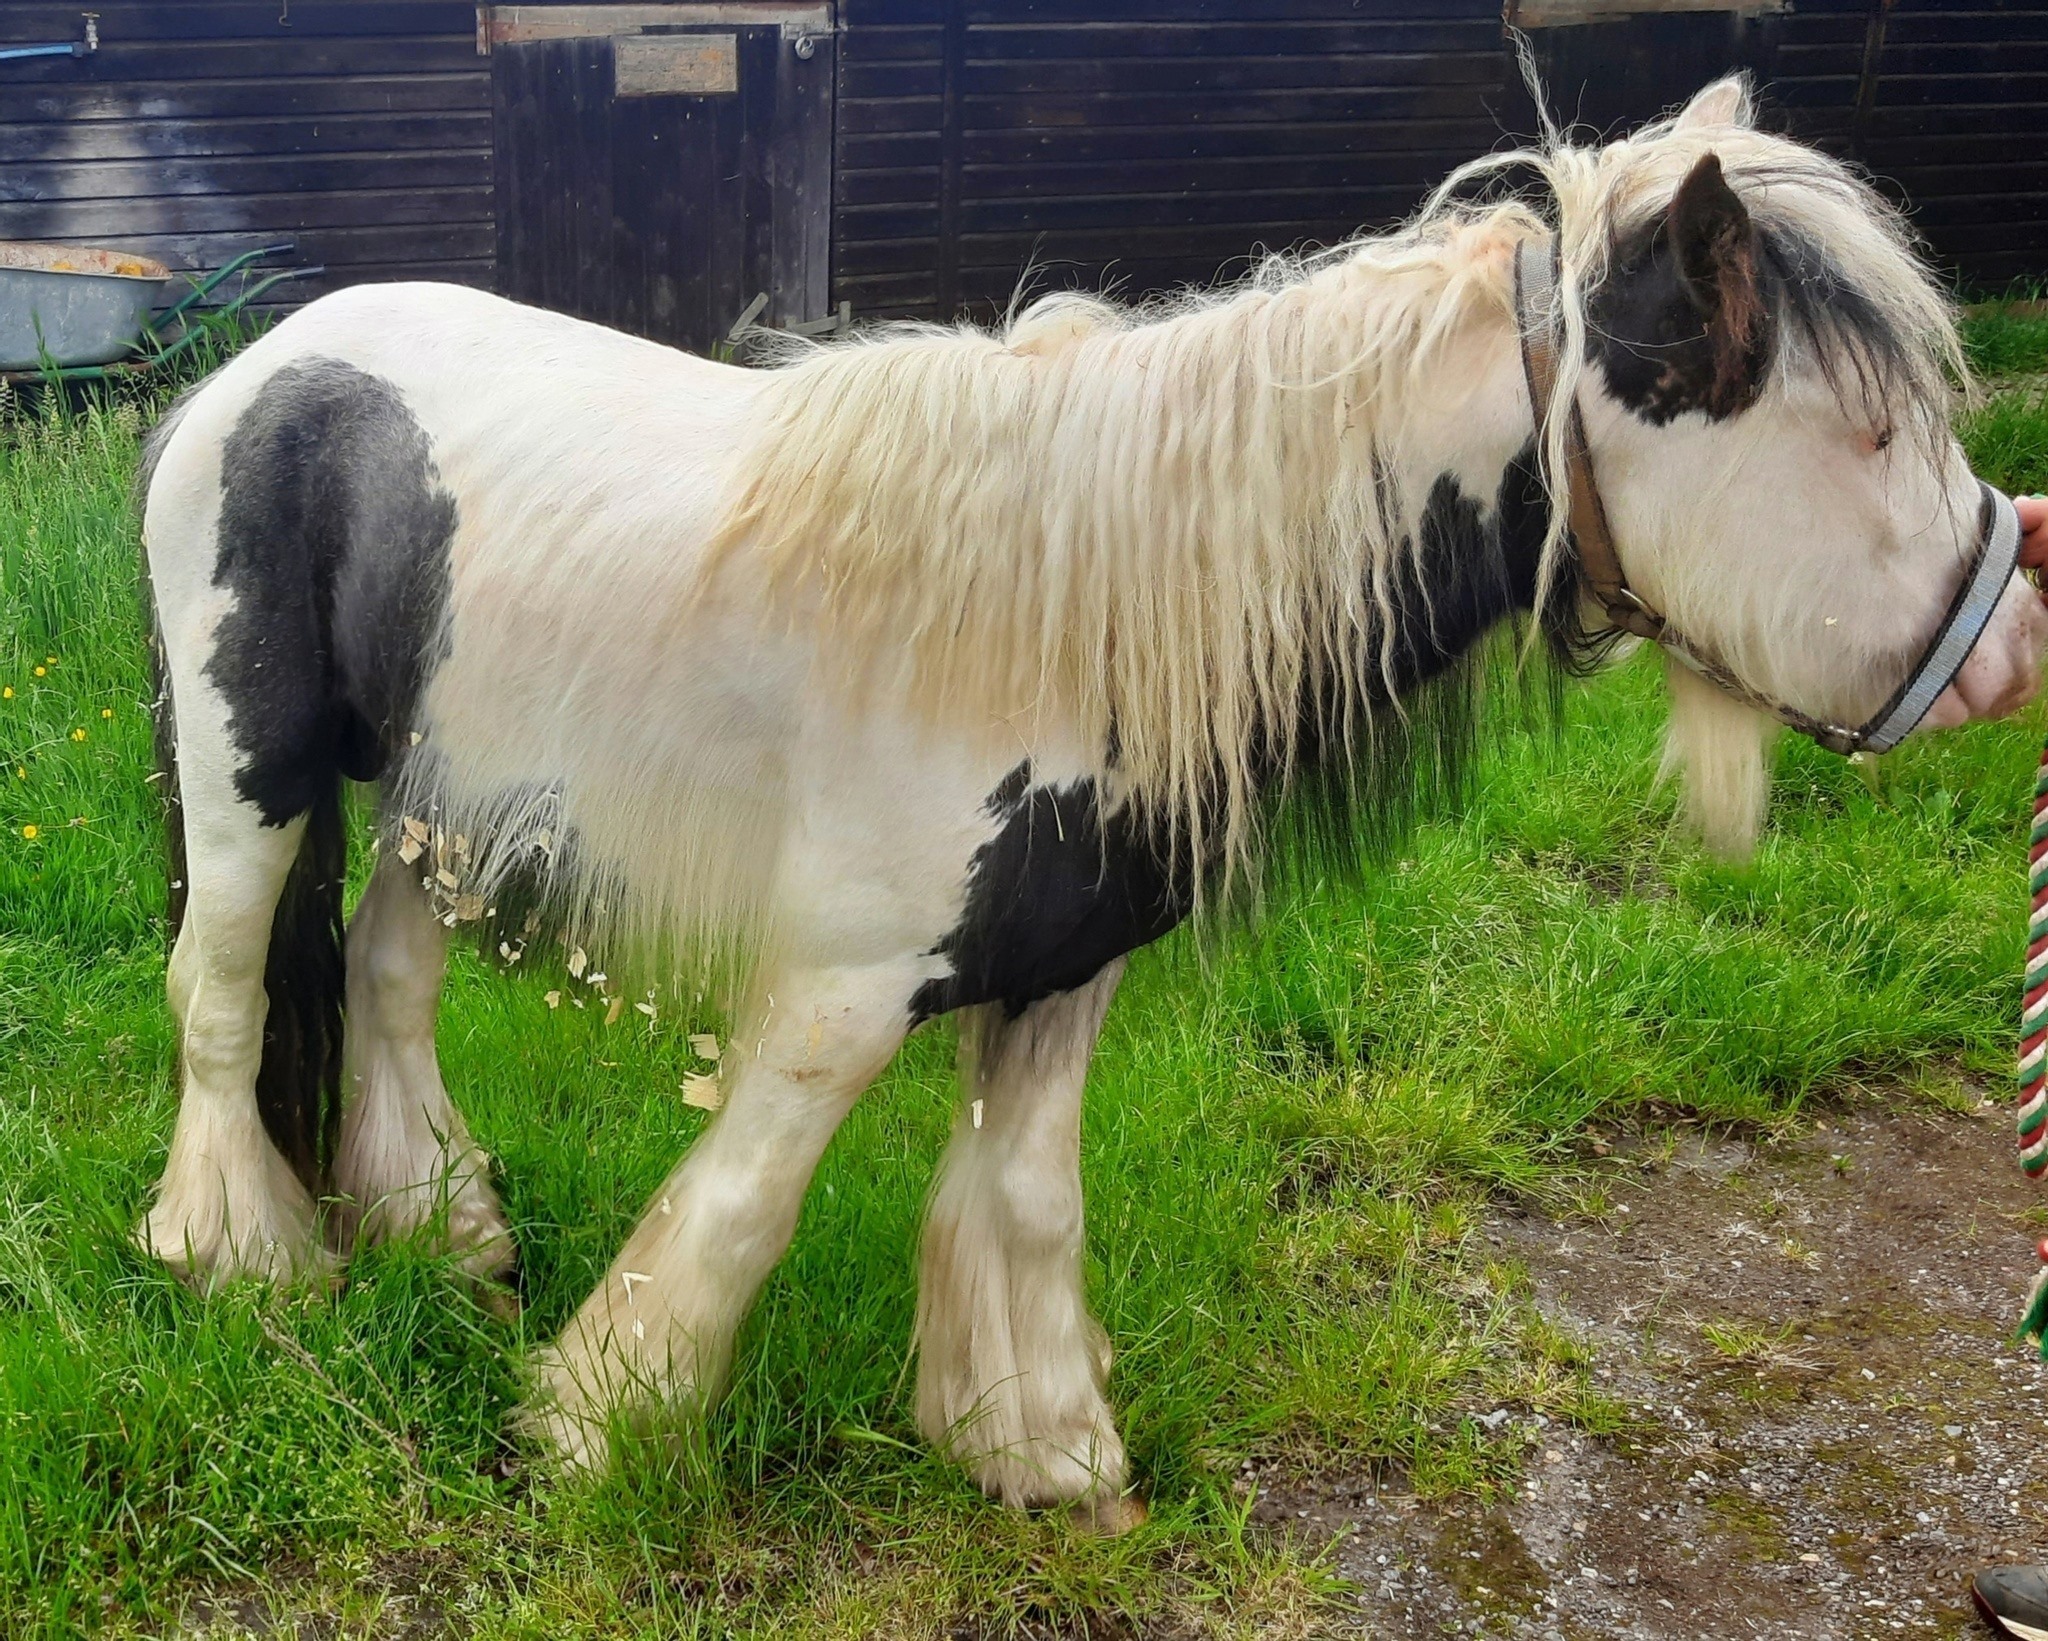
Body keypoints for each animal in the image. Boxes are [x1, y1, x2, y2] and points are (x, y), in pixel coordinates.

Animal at [132, 79, 2048, 1524]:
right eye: (1866, 437)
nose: (2008, 643)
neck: (1083, 605)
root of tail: (265, 365)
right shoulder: (838, 996)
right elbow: (745, 1202)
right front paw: (595, 1433)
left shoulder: (1060, 968)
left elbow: (1027, 1203)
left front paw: (1037, 1449)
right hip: (256, 780)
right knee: (218, 992)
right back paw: (242, 1260)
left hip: (447, 797)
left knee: (384, 974)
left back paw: (440, 1231)